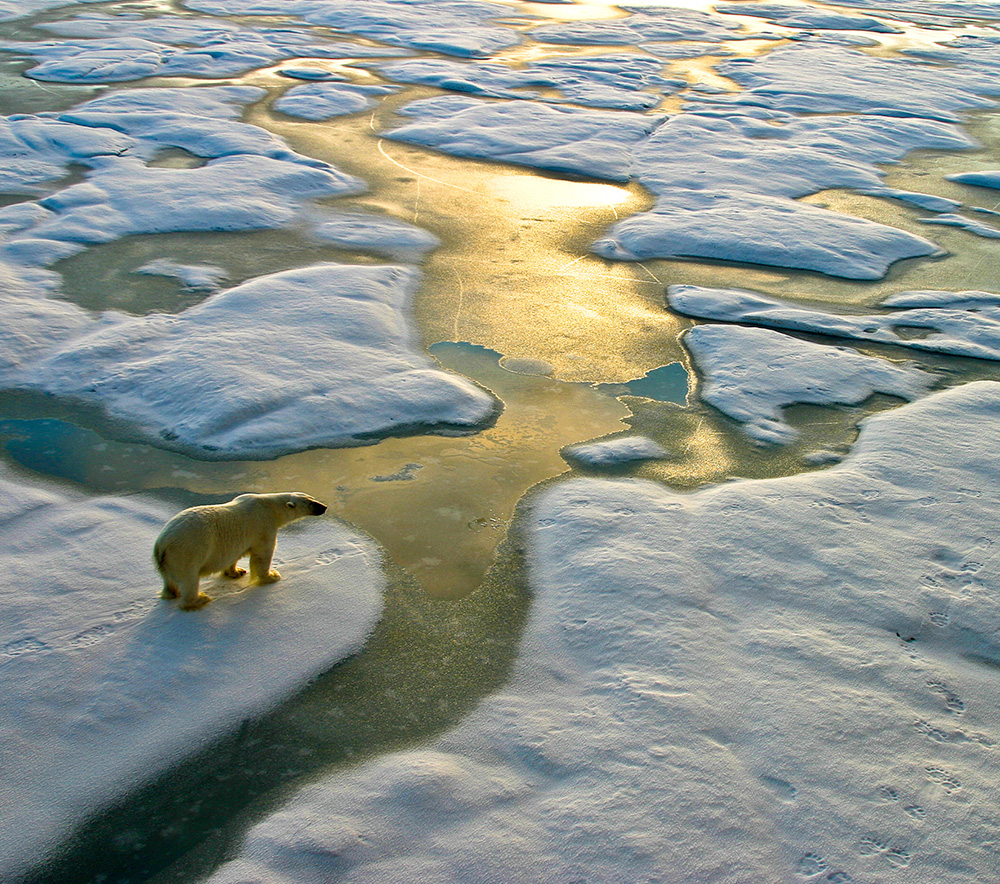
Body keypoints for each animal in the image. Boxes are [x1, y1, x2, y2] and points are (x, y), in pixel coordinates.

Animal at [154, 490, 328, 608]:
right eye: (311, 503)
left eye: (313, 498)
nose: (325, 507)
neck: (269, 507)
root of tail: (161, 544)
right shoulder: (263, 526)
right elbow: (262, 555)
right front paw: (272, 576)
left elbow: (234, 556)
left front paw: (237, 572)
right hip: (186, 552)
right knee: (189, 579)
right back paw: (200, 599)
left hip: (167, 561)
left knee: (169, 580)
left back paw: (172, 593)